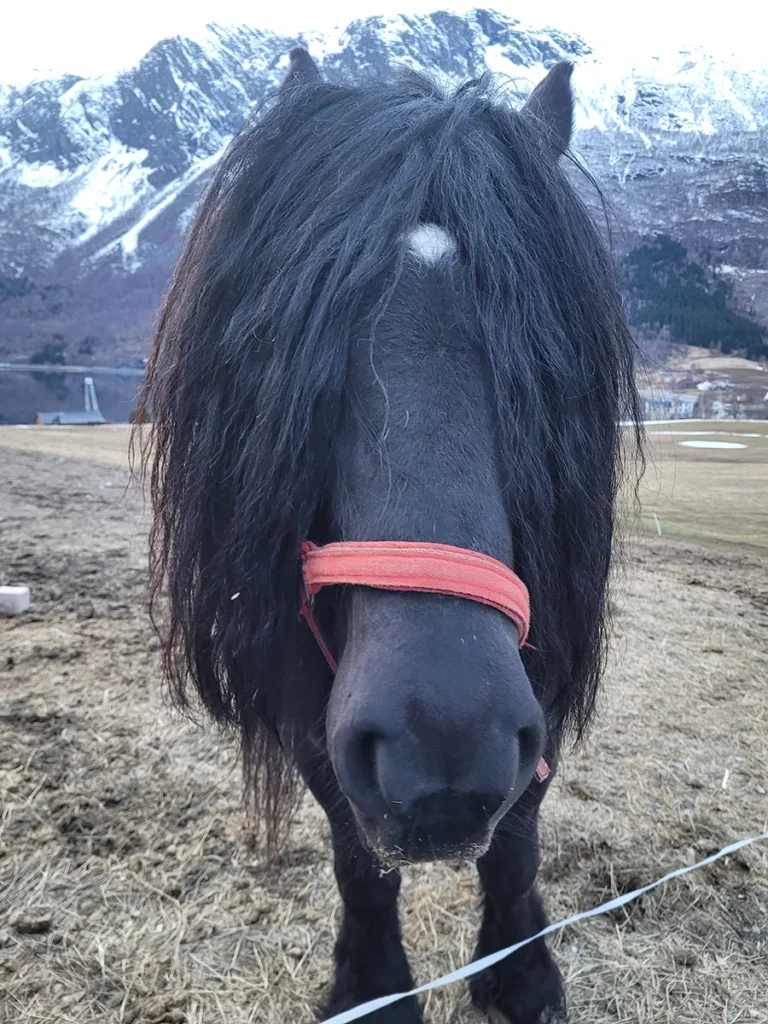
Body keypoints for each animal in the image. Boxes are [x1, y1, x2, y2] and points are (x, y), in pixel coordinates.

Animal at [137, 45, 641, 1024]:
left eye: (537, 361)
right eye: (302, 342)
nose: (443, 745)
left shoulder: (540, 686)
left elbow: (516, 843)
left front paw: (522, 977)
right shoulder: (310, 702)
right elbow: (358, 861)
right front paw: (371, 989)